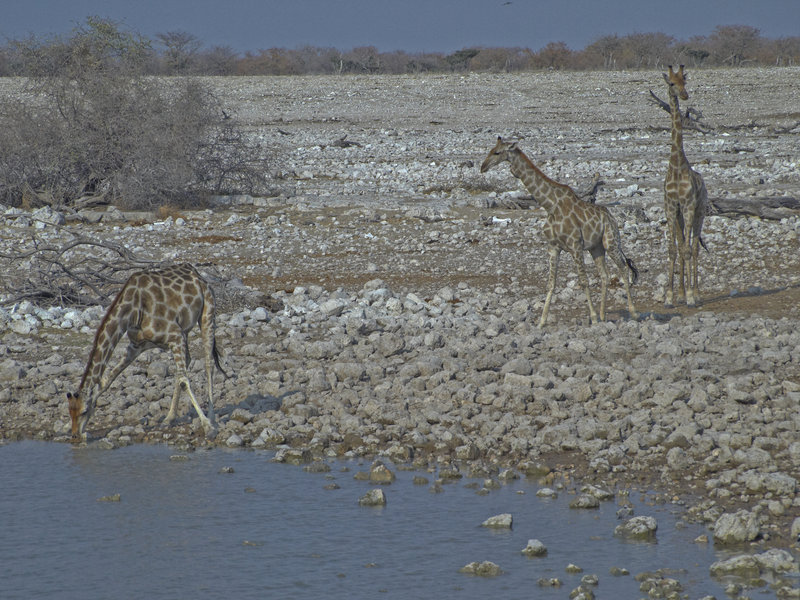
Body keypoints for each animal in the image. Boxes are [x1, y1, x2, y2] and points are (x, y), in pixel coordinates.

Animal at [67, 263, 228, 441]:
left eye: (84, 411)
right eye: (70, 411)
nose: (75, 435)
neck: (132, 310)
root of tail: (198, 275)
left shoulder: (174, 334)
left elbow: (185, 381)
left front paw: (208, 427)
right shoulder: (137, 345)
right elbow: (107, 380)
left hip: (207, 314)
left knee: (208, 363)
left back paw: (212, 419)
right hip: (184, 331)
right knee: (186, 363)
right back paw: (169, 418)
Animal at [480, 137, 638, 327]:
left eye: (497, 152)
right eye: (490, 150)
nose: (482, 167)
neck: (550, 205)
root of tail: (611, 218)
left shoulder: (575, 246)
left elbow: (584, 281)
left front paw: (592, 318)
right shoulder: (553, 247)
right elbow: (551, 284)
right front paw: (541, 322)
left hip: (611, 242)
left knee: (623, 267)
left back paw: (632, 312)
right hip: (596, 248)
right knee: (605, 275)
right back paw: (603, 315)